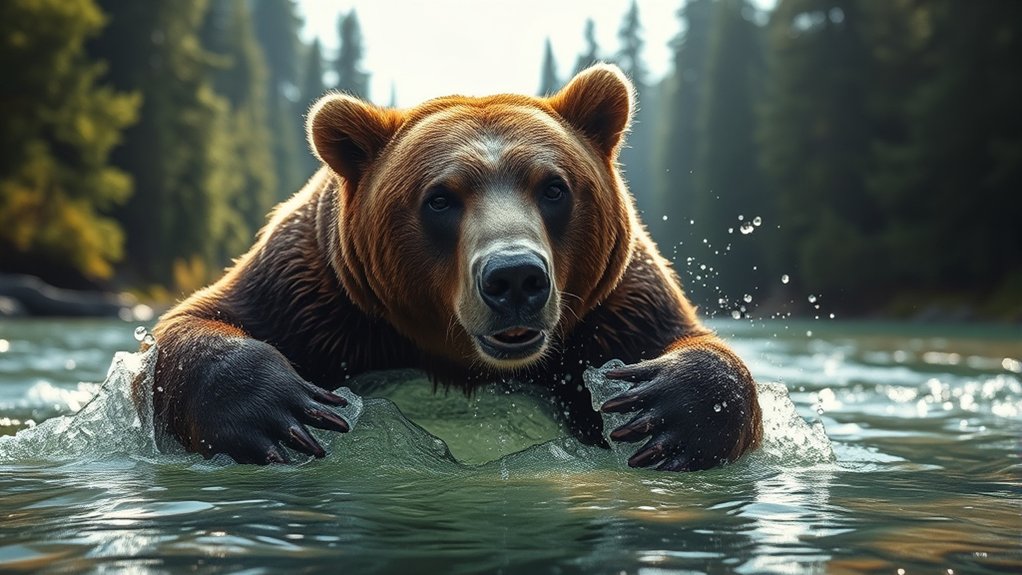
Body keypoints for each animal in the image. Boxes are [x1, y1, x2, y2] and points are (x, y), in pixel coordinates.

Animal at [141, 64, 762, 471]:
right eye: (439, 198)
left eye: (554, 187)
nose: (515, 278)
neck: (461, 361)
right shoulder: (315, 294)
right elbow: (195, 324)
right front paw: (286, 411)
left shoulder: (613, 307)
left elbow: (690, 347)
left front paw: (665, 410)